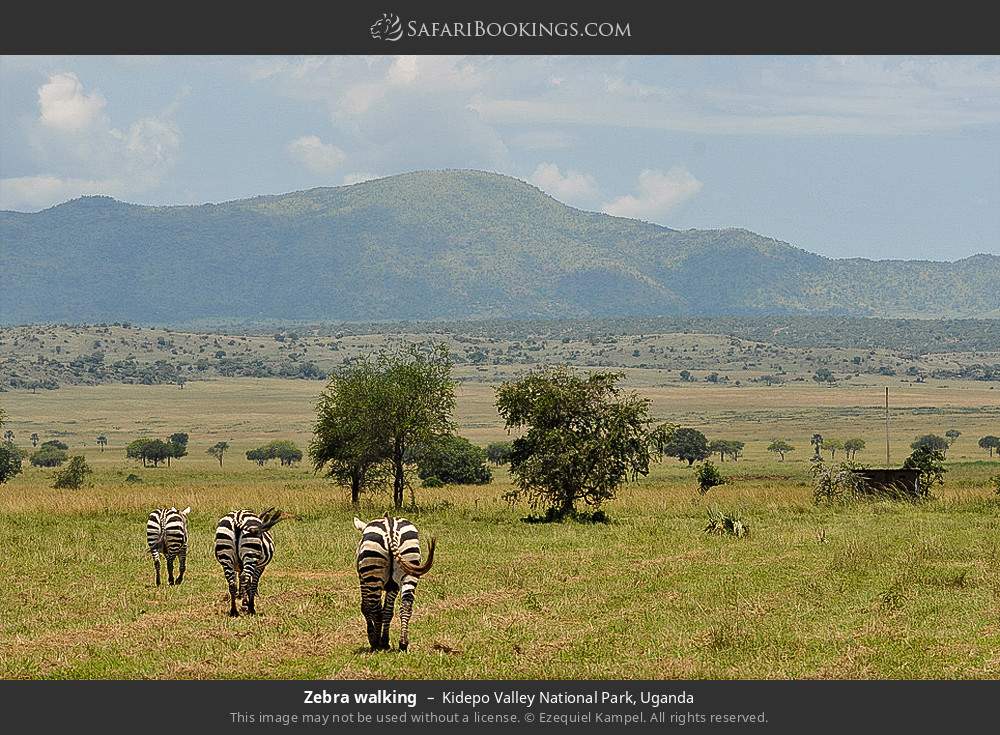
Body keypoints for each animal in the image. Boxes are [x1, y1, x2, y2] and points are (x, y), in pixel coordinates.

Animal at [353, 515, 436, 651]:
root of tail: (391, 532)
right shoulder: (394, 586)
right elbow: (388, 611)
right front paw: (385, 641)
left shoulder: (363, 581)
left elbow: (366, 608)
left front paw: (374, 638)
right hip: (409, 568)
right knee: (406, 605)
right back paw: (403, 643)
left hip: (373, 574)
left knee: (376, 610)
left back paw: (376, 643)